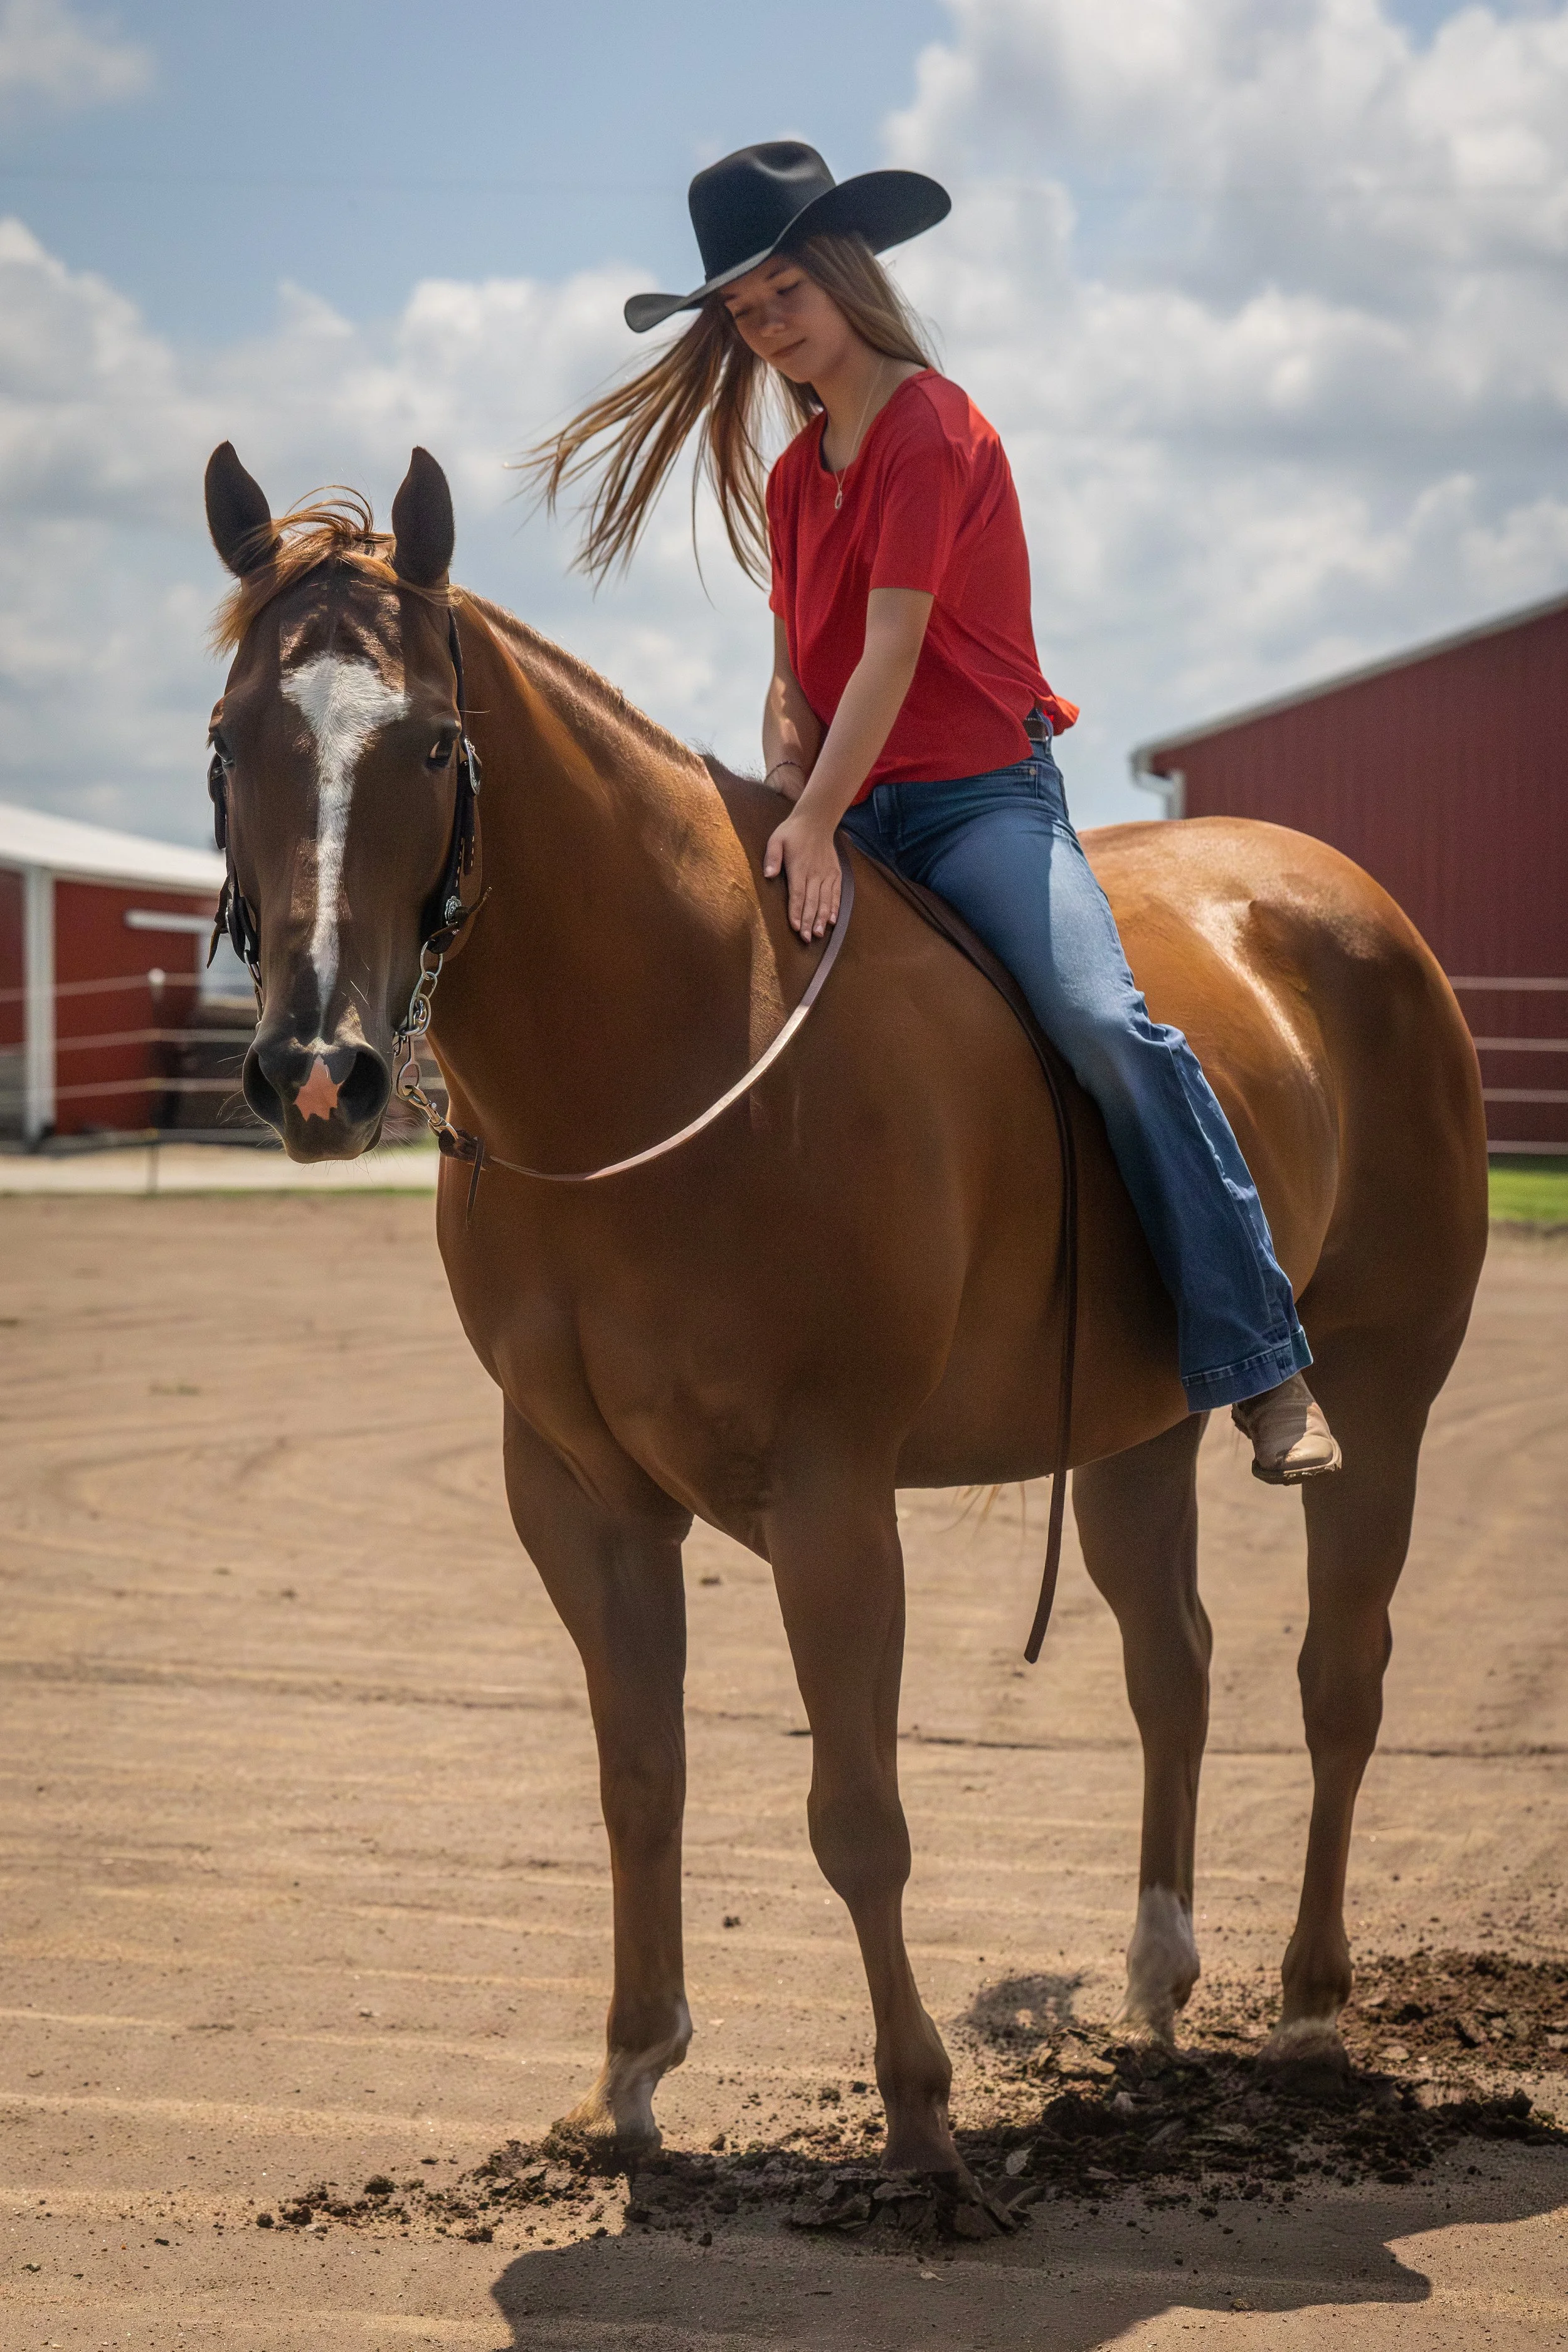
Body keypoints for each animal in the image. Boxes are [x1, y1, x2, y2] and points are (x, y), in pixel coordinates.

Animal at [201, 440, 1488, 2185]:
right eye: (230, 739)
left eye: (431, 742)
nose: (320, 1072)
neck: (674, 1037)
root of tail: (1357, 907)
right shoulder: (578, 1494)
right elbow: (641, 1778)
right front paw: (625, 2077)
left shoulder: (830, 1494)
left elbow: (856, 1816)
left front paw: (922, 2117)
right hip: (1137, 1434)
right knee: (1176, 1667)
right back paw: (1158, 1978)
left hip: (1383, 1386)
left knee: (1337, 1677)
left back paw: (1305, 2005)